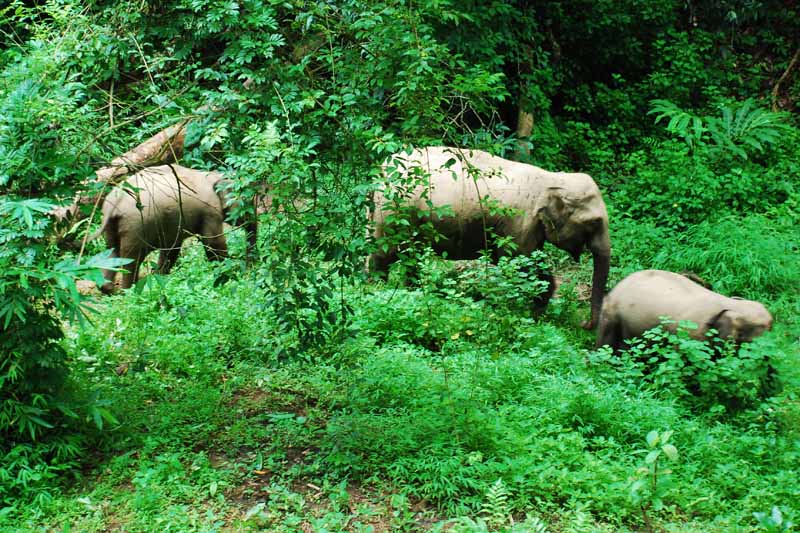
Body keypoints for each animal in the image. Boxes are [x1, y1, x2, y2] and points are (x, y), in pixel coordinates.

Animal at [370, 145, 612, 328]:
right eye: (594, 222)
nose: (584, 324)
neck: (552, 179)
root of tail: (379, 171)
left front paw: (537, 310)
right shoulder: (519, 222)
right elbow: (520, 262)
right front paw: (532, 311)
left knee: (412, 256)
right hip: (392, 213)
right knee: (383, 254)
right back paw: (377, 288)